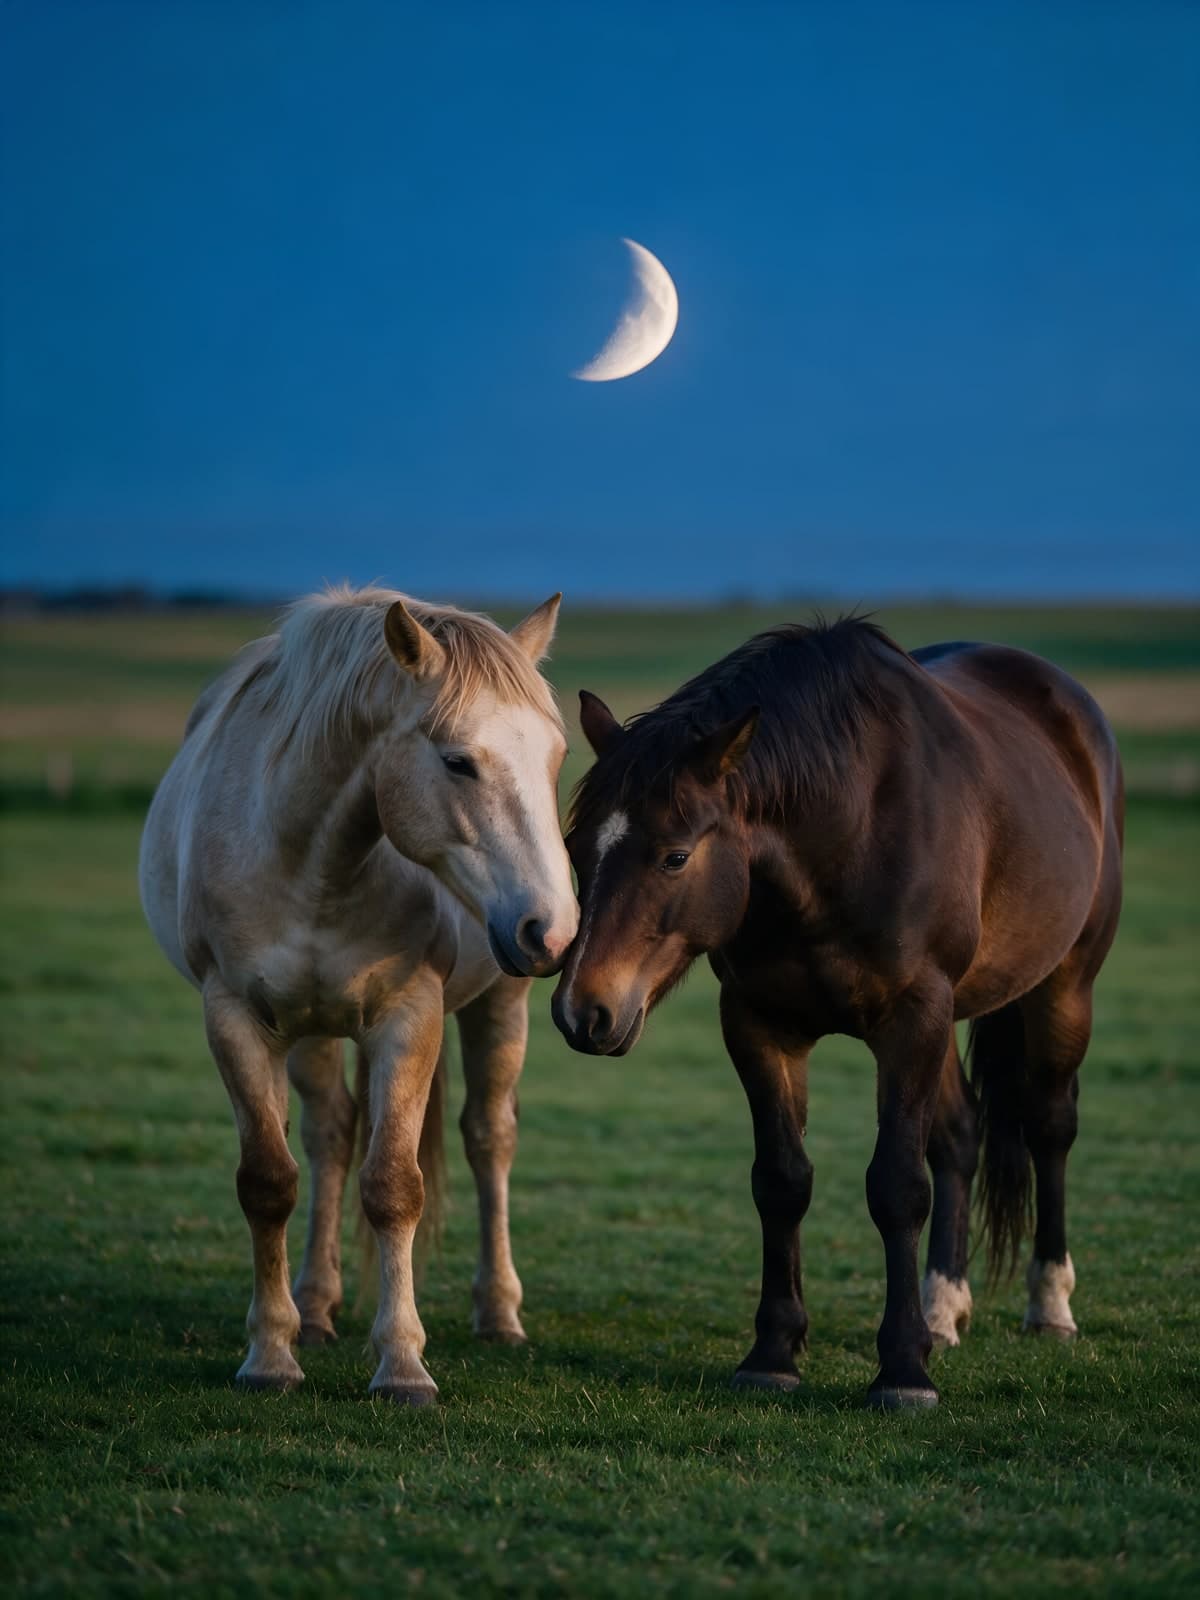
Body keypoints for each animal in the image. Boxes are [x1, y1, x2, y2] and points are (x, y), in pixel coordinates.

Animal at [140, 584, 578, 1403]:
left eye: (556, 757)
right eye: (458, 761)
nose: (555, 929)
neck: (311, 861)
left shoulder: (410, 1018)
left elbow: (394, 1186)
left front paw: (403, 1365)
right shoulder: (235, 1018)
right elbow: (269, 1181)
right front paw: (271, 1355)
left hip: (498, 1004)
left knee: (488, 1137)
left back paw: (499, 1312)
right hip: (309, 1031)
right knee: (330, 1135)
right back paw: (314, 1304)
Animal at [552, 619, 1123, 1409]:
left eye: (674, 857)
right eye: (577, 847)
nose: (582, 1010)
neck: (848, 830)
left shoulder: (911, 1020)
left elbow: (897, 1187)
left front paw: (904, 1370)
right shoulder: (760, 1024)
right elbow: (782, 1180)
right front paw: (773, 1353)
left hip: (1065, 987)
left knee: (1049, 1126)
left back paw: (1050, 1306)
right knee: (960, 1136)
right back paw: (943, 1308)